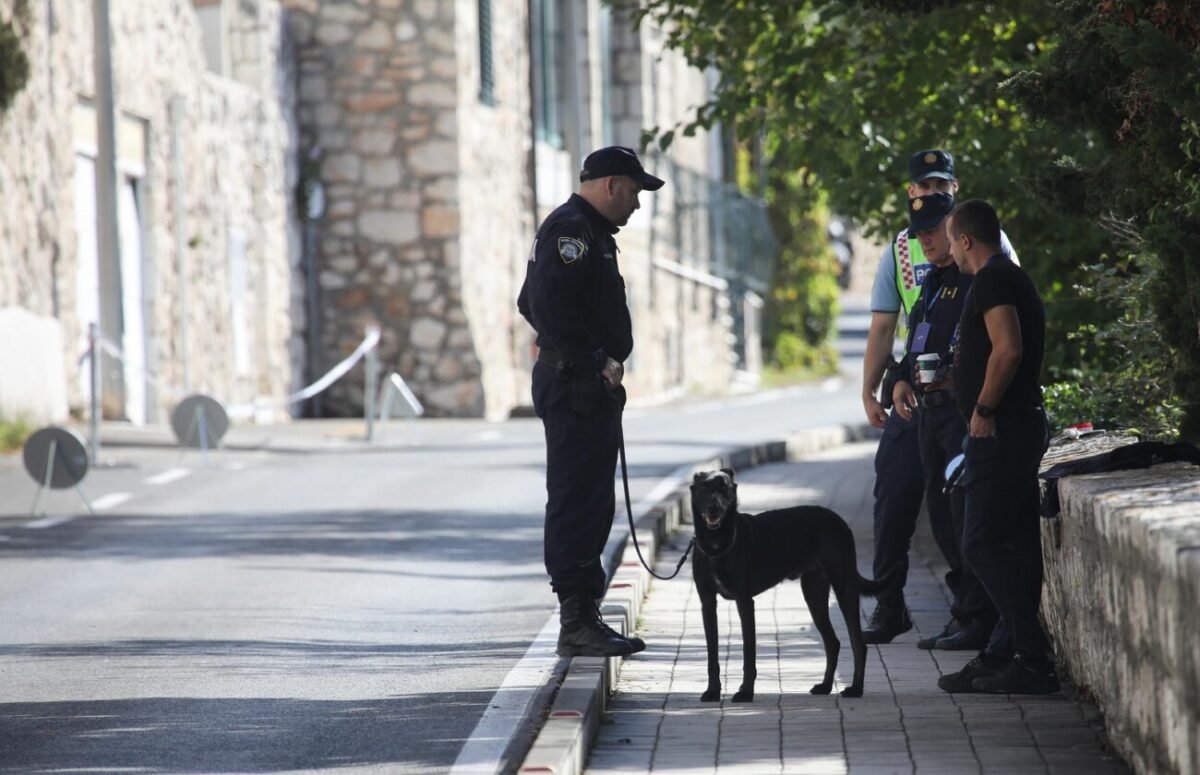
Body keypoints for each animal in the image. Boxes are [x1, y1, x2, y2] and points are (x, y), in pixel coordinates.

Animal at [686, 470, 902, 700]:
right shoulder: (707, 603)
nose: (713, 508)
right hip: (814, 594)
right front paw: (713, 691)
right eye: (703, 488)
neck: (716, 545)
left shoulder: (744, 602)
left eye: (724, 488)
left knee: (858, 643)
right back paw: (825, 686)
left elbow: (748, 654)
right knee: (832, 643)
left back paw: (855, 689)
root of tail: (838, 519)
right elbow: (712, 655)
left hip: (844, 587)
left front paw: (745, 692)